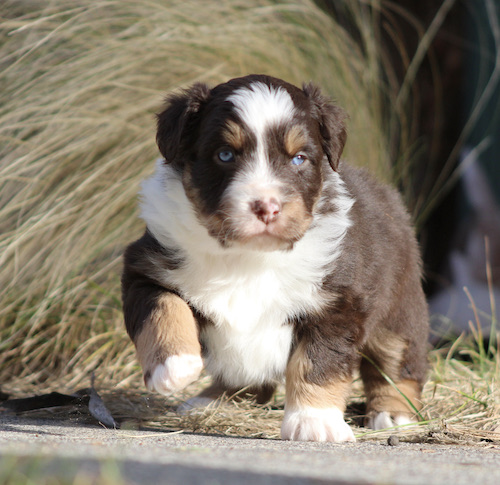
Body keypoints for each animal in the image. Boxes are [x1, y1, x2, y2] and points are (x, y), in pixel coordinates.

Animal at [121, 74, 429, 442]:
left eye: (299, 159)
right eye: (225, 154)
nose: (267, 207)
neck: (248, 258)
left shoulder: (337, 302)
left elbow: (318, 363)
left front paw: (315, 422)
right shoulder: (146, 269)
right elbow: (164, 310)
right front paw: (174, 366)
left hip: (399, 308)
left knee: (397, 361)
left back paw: (394, 415)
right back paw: (210, 401)